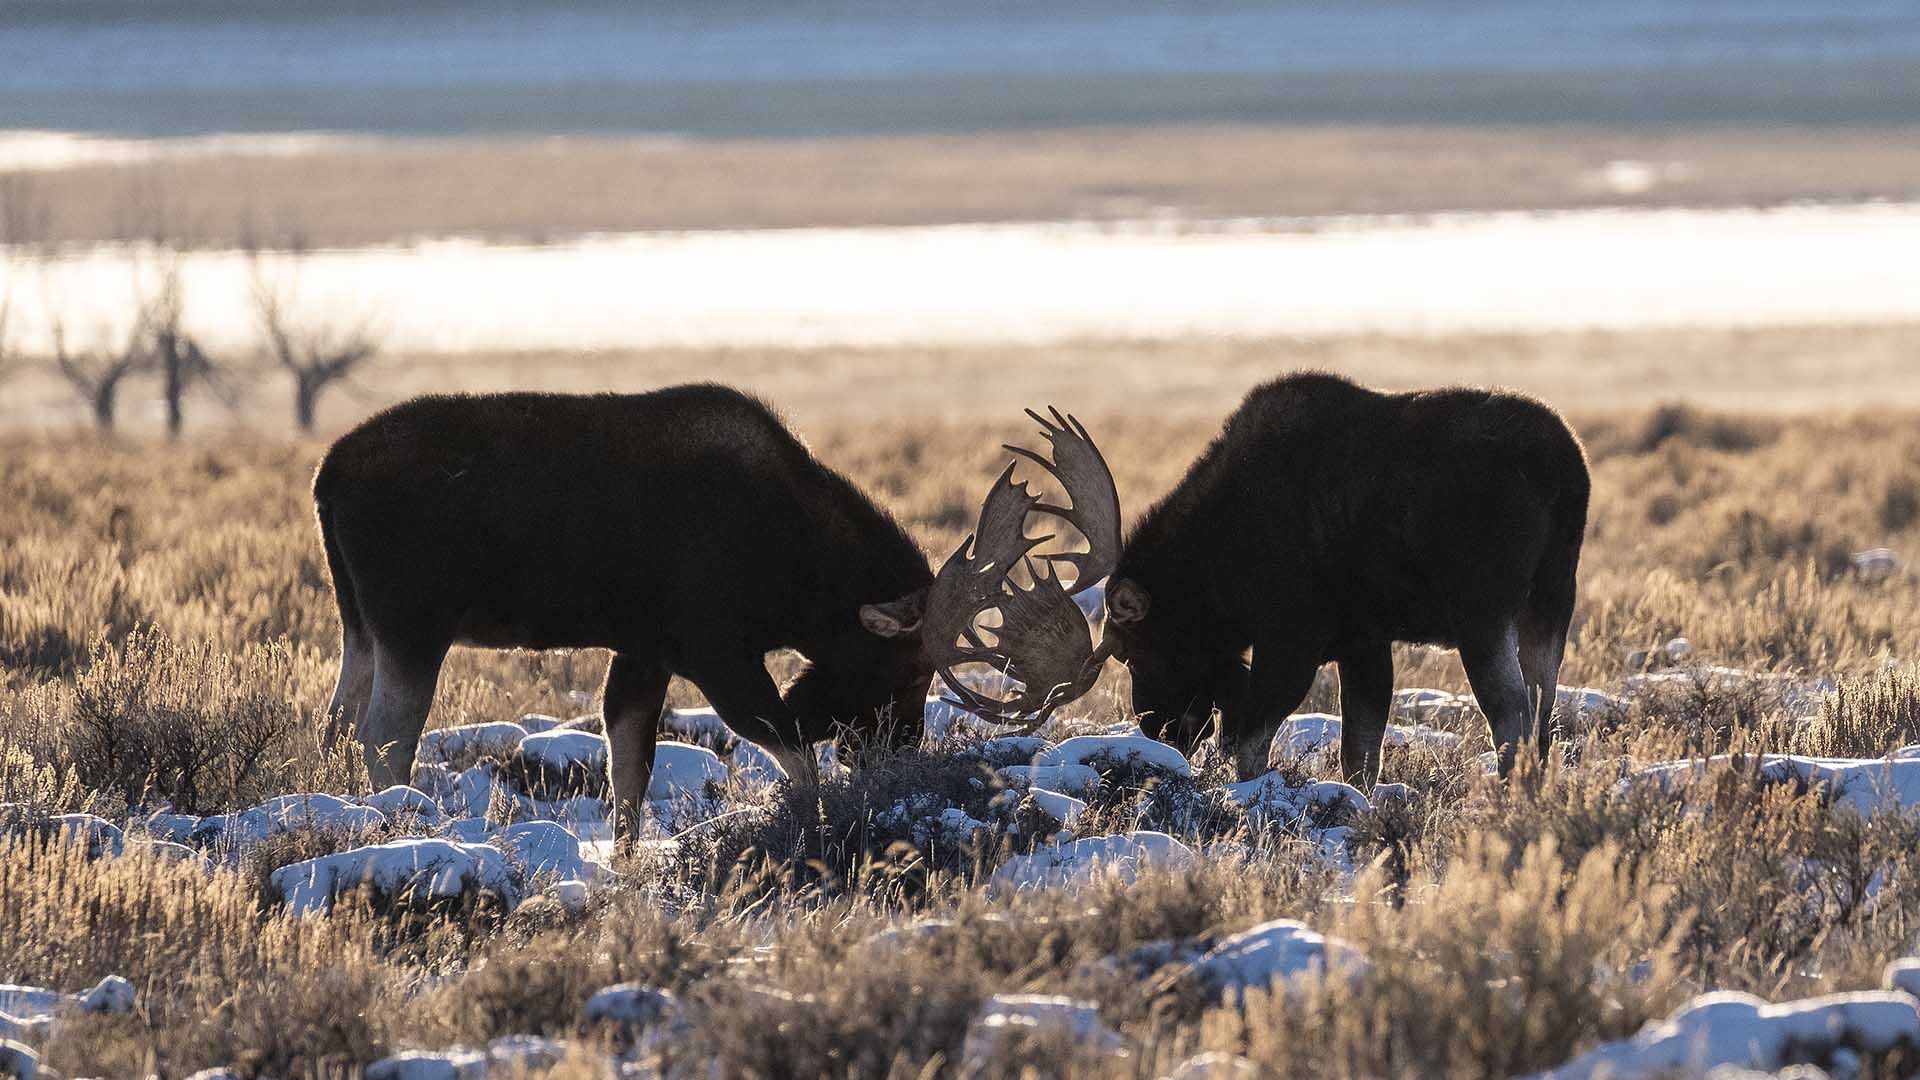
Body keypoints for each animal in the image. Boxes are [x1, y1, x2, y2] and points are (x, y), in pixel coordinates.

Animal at [312, 382, 1113, 837]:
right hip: (413, 622)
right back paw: (394, 825)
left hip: (361, 625)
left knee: (336, 724)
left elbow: (628, 772)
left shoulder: (644, 648)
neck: (802, 580)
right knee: (382, 740)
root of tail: (325, 479)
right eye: (909, 669)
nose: (897, 749)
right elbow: (791, 754)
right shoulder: (715, 650)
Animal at [944, 374, 1589, 787]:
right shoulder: (1363, 638)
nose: (1156, 728)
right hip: (1553, 597)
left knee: (1511, 715)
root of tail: (1566, 472)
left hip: (1483, 608)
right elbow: (1360, 751)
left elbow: (1250, 737)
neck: (1218, 580)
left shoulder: (1293, 633)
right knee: (1543, 707)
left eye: (1132, 651)